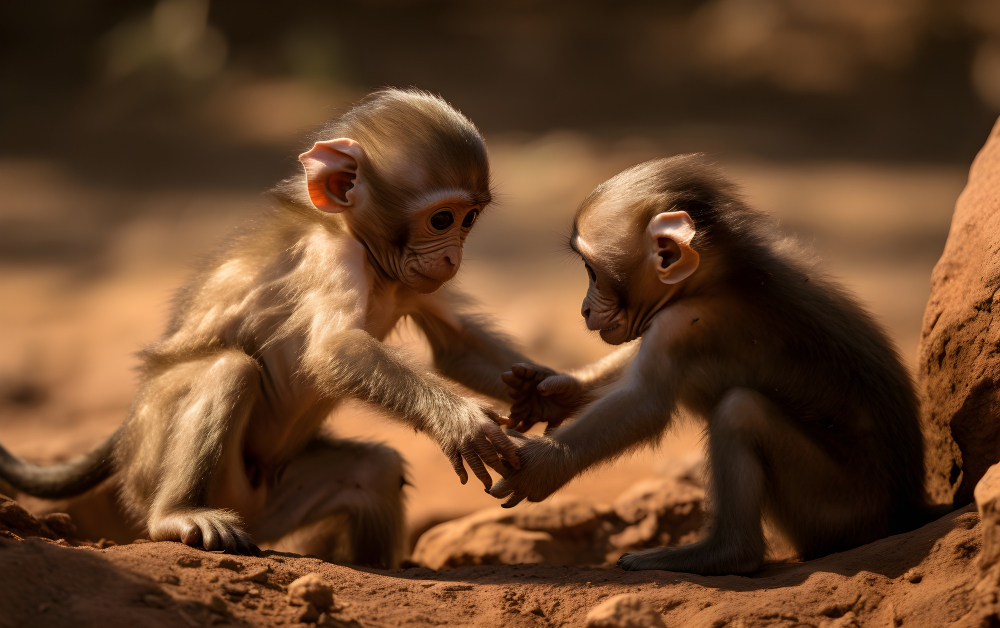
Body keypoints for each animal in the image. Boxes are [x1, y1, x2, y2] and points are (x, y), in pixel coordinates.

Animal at [0, 88, 527, 568]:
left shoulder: (413, 283)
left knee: (374, 470)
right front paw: (462, 421)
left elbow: (455, 345)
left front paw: (543, 392)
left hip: (276, 502)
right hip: (158, 466)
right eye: (442, 219)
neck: (370, 256)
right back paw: (178, 514)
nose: (452, 258)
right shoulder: (330, 255)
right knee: (228, 369)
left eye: (469, 220)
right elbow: (334, 351)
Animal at [491, 154, 936, 575]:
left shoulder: (680, 322)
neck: (714, 277)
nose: (583, 309)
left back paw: (722, 554)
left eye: (592, 272)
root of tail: (903, 511)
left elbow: (644, 401)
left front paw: (538, 466)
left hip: (838, 503)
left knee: (741, 411)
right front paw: (556, 392)